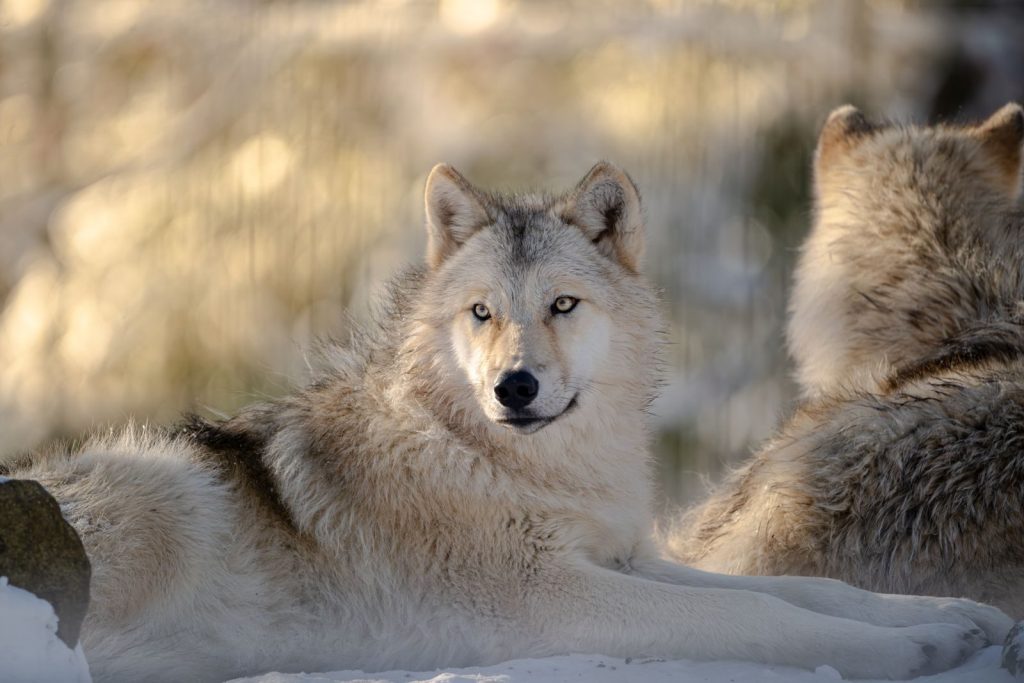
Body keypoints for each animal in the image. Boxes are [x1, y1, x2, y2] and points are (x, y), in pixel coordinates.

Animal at [3, 162, 1011, 682]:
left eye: (562, 304)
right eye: (482, 313)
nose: (514, 388)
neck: (497, 456)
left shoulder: (625, 557)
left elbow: (810, 588)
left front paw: (954, 613)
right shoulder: (556, 597)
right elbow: (767, 618)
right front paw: (909, 648)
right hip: (173, 486)